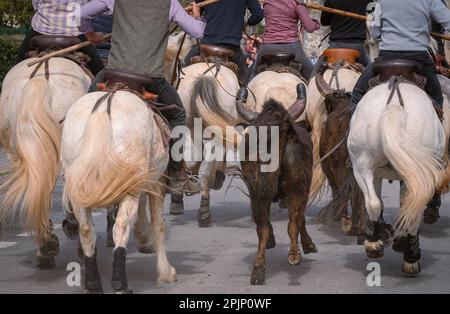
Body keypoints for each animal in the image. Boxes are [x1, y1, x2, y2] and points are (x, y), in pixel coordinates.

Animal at [61, 89, 176, 294]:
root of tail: (102, 107)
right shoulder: (156, 183)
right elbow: (158, 226)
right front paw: (165, 272)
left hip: (78, 186)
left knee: (86, 230)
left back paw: (93, 284)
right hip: (131, 188)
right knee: (121, 227)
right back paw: (121, 284)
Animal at [236, 83, 316, 284]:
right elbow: (298, 217)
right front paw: (308, 245)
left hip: (260, 189)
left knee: (264, 226)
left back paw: (259, 269)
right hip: (296, 185)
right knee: (293, 218)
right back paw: (294, 254)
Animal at [350, 76, 448, 274]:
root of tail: (394, 107)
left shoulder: (378, 173)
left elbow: (380, 201)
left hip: (361, 165)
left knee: (372, 202)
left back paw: (373, 245)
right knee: (413, 211)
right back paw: (410, 255)